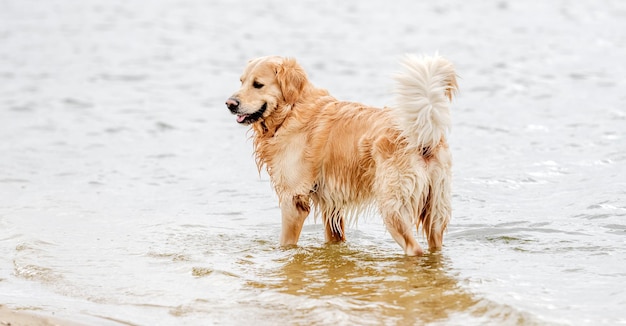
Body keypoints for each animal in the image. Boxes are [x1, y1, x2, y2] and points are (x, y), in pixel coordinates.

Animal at [224, 54, 454, 256]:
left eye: (258, 84)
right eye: (242, 81)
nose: (230, 104)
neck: (291, 111)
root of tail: (423, 138)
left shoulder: (293, 200)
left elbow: (286, 243)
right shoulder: (331, 204)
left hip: (393, 206)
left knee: (414, 248)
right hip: (435, 211)